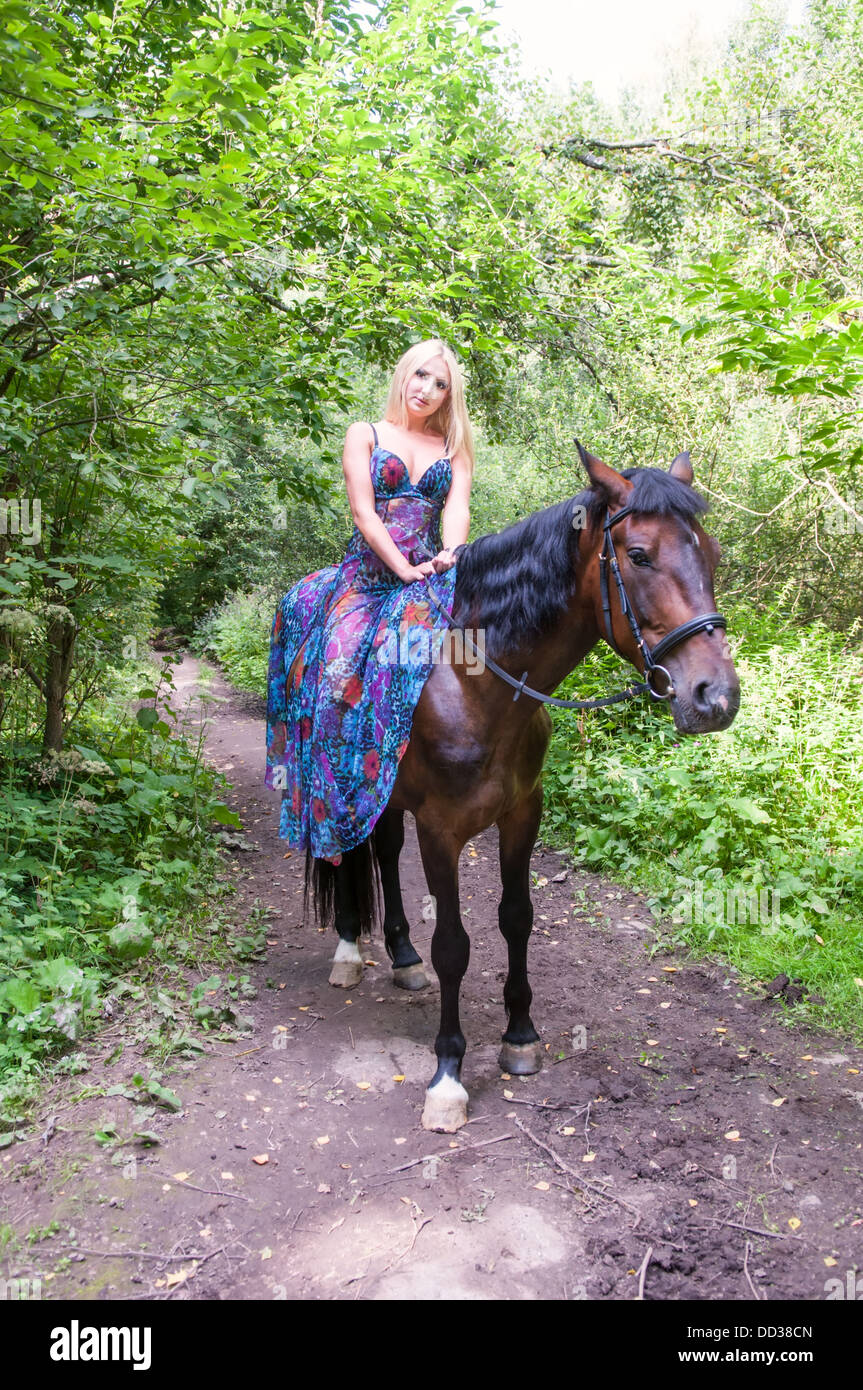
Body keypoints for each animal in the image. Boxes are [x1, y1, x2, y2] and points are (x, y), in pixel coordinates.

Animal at [304, 444, 739, 1128]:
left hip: (388, 799)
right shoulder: (441, 830)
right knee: (343, 852)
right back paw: (350, 951)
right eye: (640, 555)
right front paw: (447, 1075)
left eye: (713, 554)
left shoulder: (521, 815)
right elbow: (454, 945)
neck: (474, 682)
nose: (714, 697)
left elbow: (517, 918)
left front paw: (520, 1037)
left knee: (384, 853)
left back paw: (402, 958)